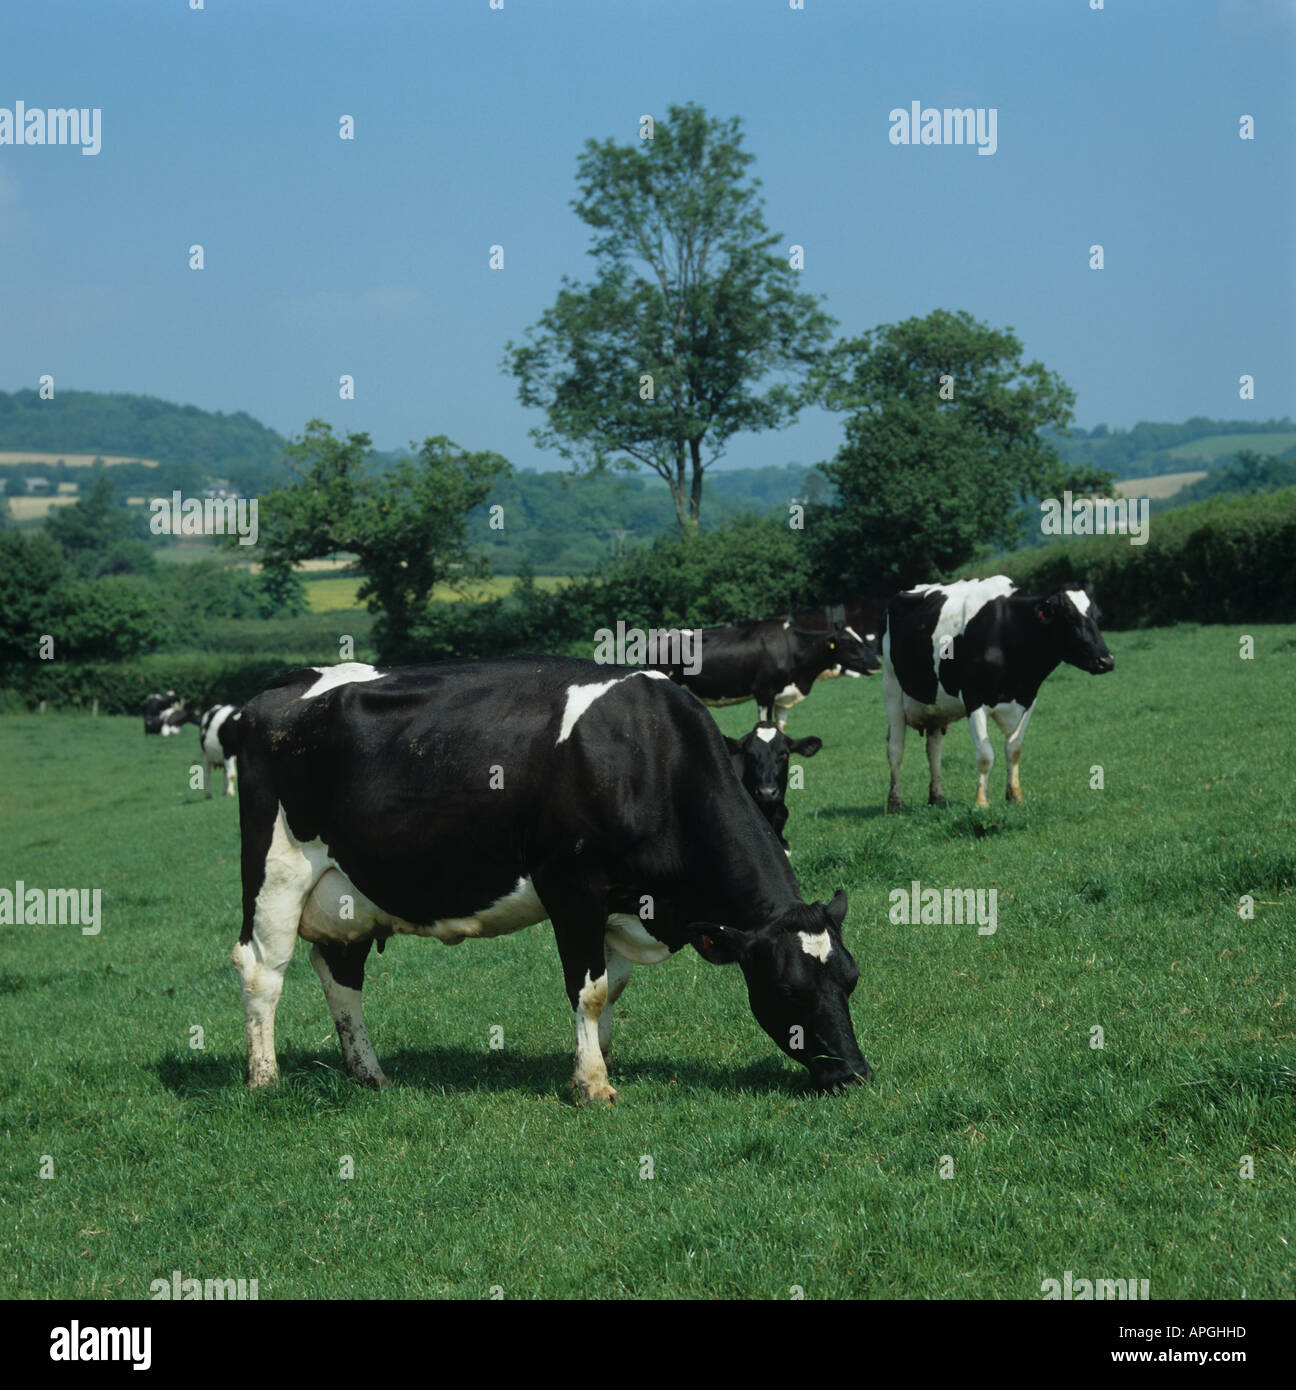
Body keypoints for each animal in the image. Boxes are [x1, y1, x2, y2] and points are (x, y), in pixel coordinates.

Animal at [652, 618, 872, 729]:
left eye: (860, 638)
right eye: (849, 642)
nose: (875, 662)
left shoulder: (783, 695)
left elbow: (781, 726)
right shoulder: (764, 691)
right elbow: (765, 723)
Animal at [881, 576, 1114, 811]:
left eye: (1098, 617)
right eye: (1069, 618)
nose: (1106, 660)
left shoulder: (1028, 699)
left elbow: (1013, 750)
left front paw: (1015, 797)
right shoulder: (973, 698)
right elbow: (985, 755)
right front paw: (981, 802)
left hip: (935, 706)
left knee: (934, 750)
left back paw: (938, 798)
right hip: (892, 689)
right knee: (895, 749)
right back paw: (895, 803)